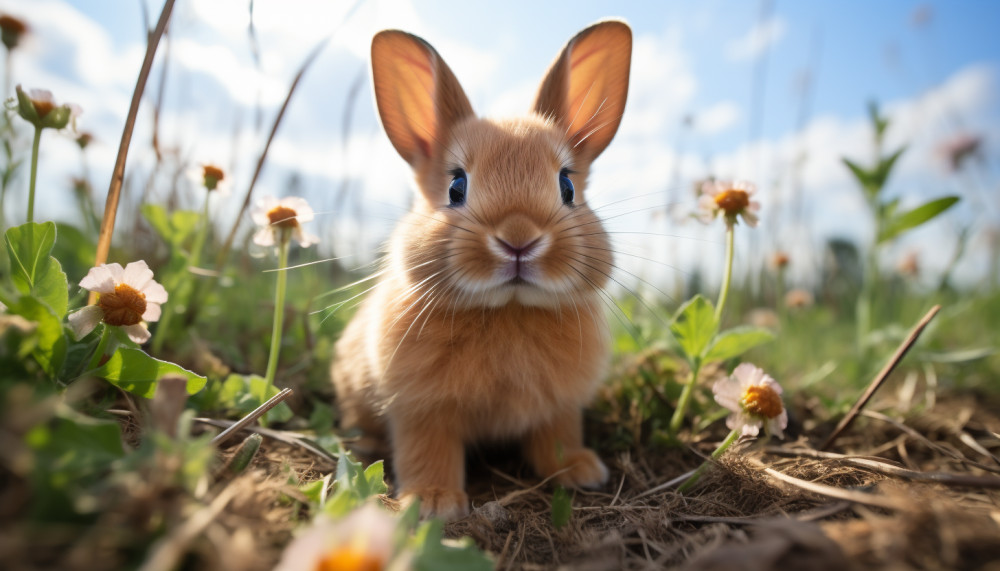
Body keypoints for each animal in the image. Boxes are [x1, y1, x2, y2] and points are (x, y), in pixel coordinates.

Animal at [332, 20, 632, 521]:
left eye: (567, 186)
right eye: (456, 186)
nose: (518, 238)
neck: (508, 308)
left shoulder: (558, 408)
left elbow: (556, 439)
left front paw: (579, 469)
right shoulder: (419, 410)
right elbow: (427, 449)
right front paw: (432, 501)